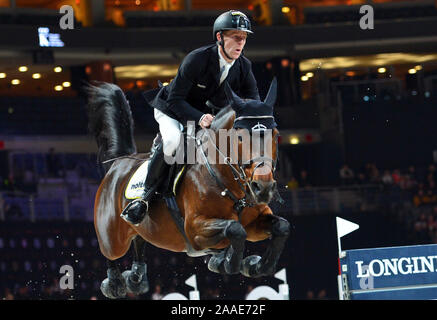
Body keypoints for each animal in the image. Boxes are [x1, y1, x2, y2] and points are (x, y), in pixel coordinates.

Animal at [85, 79, 290, 298]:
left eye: (276, 135)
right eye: (240, 137)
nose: (263, 188)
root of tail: (119, 163)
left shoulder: (254, 223)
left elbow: (281, 227)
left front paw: (256, 266)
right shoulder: (194, 228)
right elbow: (235, 229)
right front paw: (228, 264)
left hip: (141, 229)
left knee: (139, 240)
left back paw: (135, 279)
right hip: (113, 237)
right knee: (110, 251)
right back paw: (115, 284)